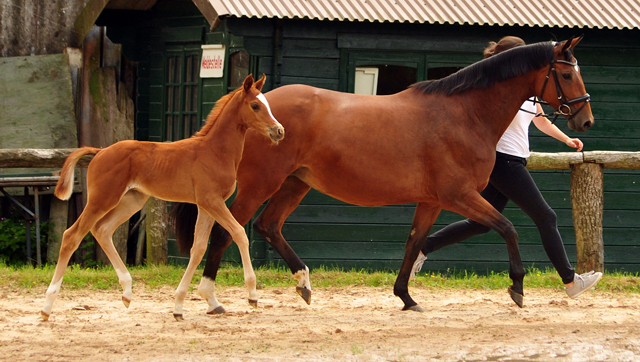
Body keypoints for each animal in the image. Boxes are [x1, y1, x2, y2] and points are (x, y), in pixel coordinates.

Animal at [42, 73, 284, 320]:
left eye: (267, 104)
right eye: (255, 105)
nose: (279, 131)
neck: (214, 151)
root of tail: (100, 152)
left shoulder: (206, 205)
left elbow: (198, 249)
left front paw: (179, 306)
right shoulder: (212, 201)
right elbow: (239, 234)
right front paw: (252, 295)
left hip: (131, 200)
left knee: (102, 230)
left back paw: (127, 292)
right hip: (102, 199)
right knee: (71, 236)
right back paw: (46, 307)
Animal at [172, 37, 592, 314]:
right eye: (566, 73)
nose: (584, 120)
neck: (463, 114)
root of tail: (251, 105)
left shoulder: (433, 200)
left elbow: (414, 241)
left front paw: (405, 296)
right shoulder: (459, 195)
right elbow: (509, 227)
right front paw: (517, 286)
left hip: (295, 183)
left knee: (267, 226)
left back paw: (303, 283)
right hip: (261, 183)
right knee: (229, 231)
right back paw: (211, 296)